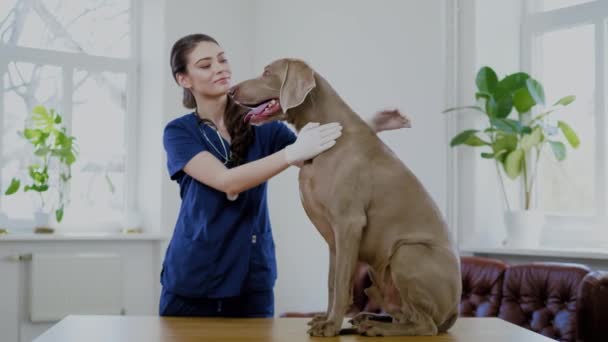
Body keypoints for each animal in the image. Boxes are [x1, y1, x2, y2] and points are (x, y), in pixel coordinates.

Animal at [233, 58, 460, 336]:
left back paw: (376, 327)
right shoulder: (334, 238)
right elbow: (332, 282)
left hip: (407, 253)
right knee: (404, 315)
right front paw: (326, 318)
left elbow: (341, 283)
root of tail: (454, 311)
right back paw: (366, 319)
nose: (230, 91)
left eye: (266, 73)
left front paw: (331, 326)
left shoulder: (348, 224)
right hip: (379, 273)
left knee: (426, 325)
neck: (327, 135)